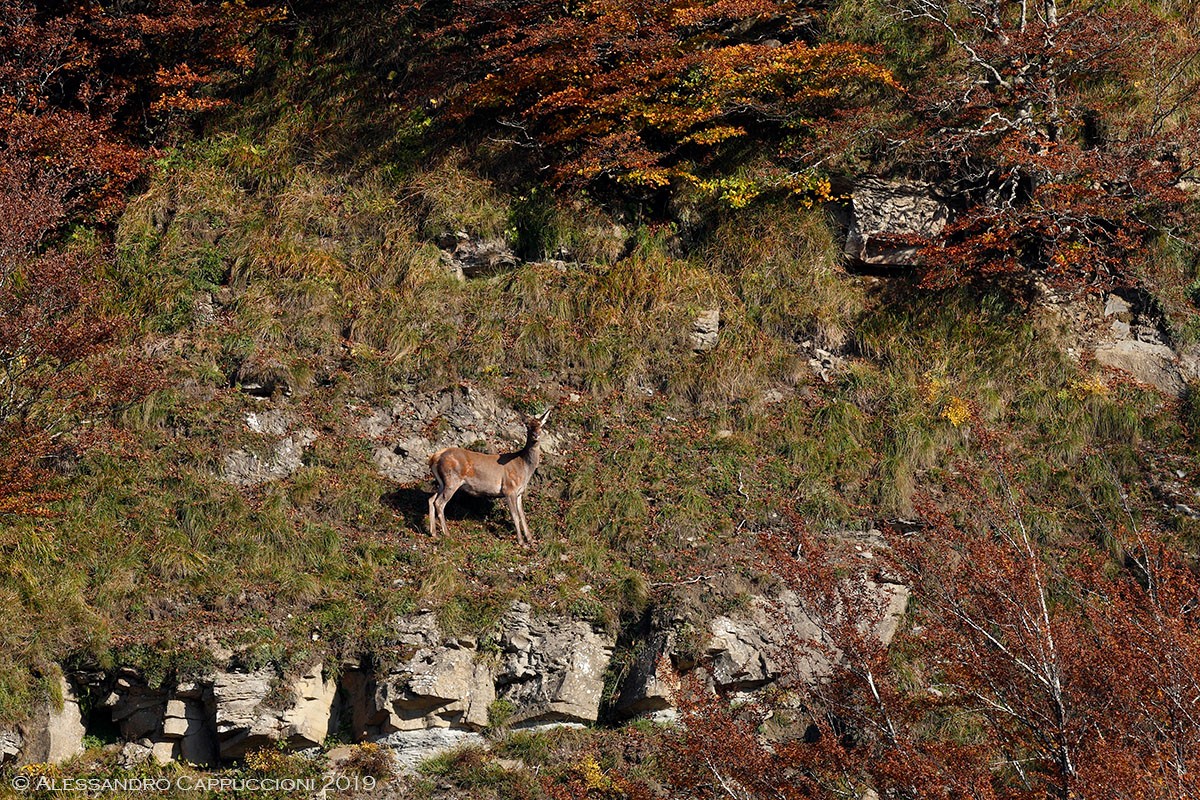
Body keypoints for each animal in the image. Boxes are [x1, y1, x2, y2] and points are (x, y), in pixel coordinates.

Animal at [427, 409, 550, 547]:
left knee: (431, 499)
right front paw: (522, 542)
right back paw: (447, 533)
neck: (524, 468)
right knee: (439, 503)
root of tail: (434, 457)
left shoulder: (519, 493)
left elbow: (523, 515)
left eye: (541, 426)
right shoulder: (509, 489)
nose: (535, 435)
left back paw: (433, 532)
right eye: (528, 426)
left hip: (442, 482)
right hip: (452, 480)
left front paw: (530, 539)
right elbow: (515, 516)